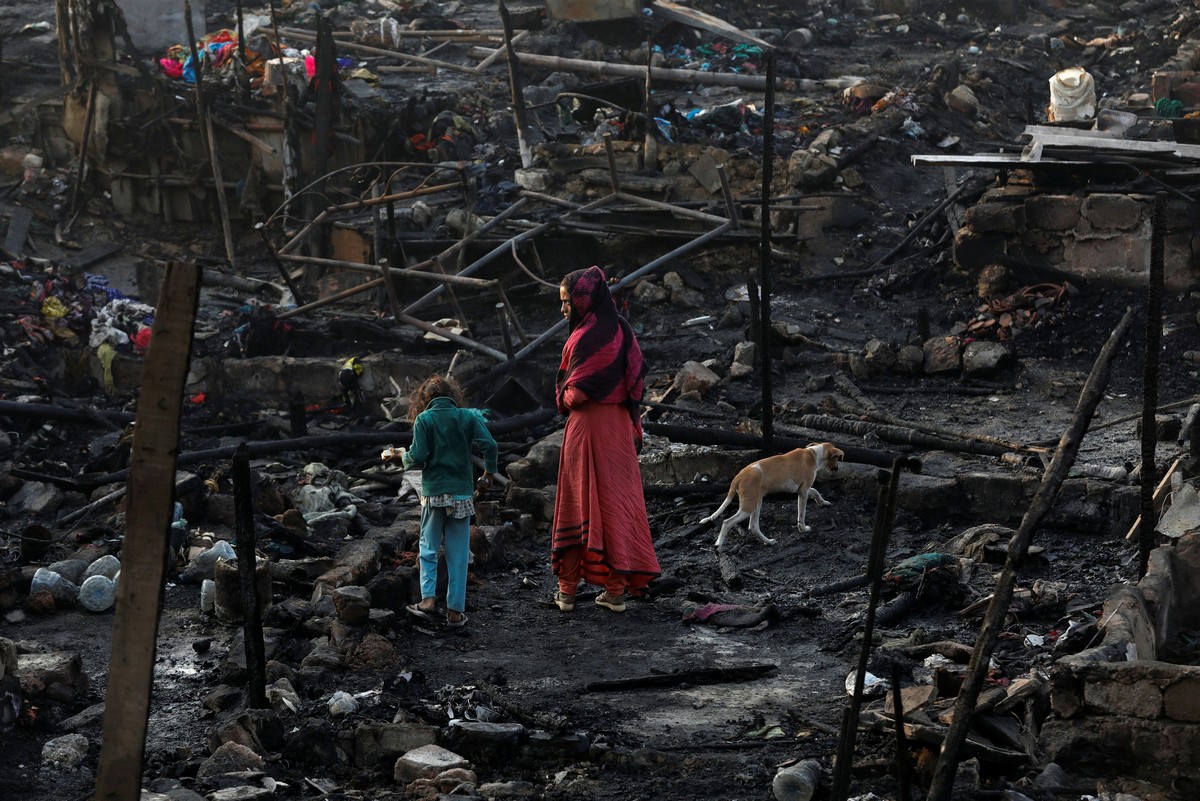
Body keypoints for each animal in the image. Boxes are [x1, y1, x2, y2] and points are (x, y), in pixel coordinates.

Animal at [700, 443, 844, 551]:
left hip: (756, 503)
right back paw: (719, 544)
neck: (814, 454)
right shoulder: (803, 491)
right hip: (748, 507)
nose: (837, 468)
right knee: (727, 522)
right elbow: (801, 514)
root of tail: (738, 476)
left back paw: (768, 541)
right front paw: (803, 529)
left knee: (753, 526)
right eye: (837, 458)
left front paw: (823, 502)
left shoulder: (804, 488)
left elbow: (815, 491)